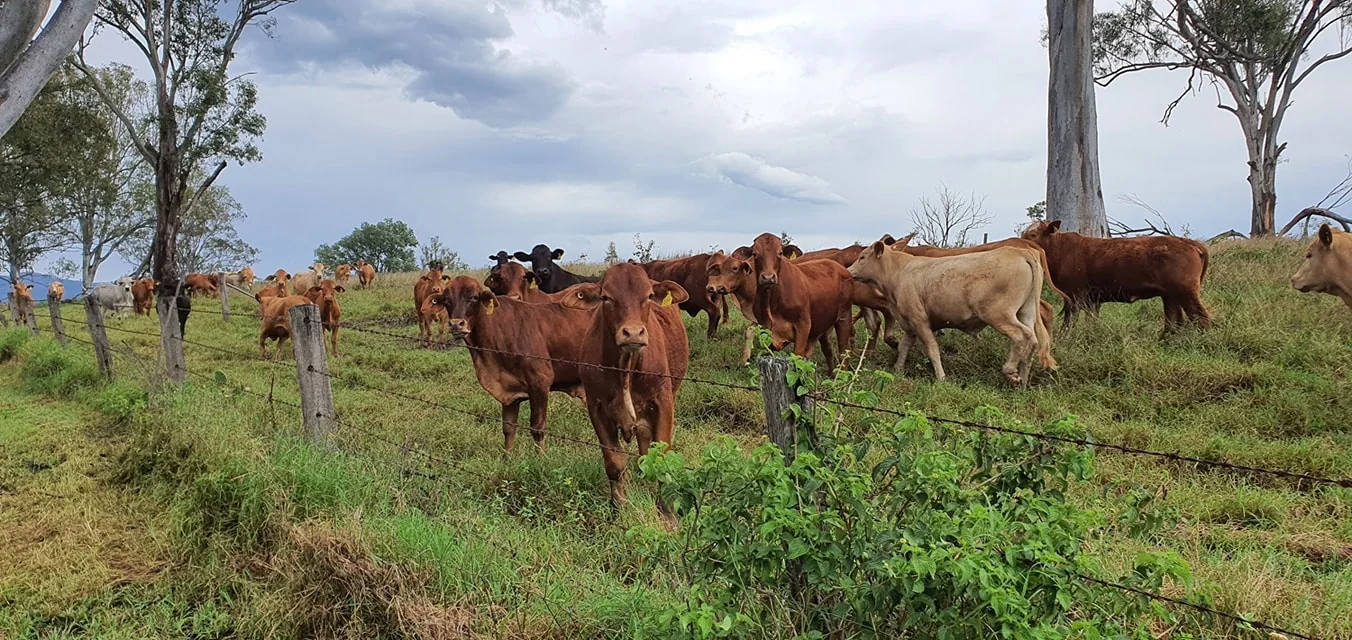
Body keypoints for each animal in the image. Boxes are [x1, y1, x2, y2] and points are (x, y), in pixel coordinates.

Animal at [433, 275, 589, 452]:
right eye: (446, 300)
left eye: (474, 297)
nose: (456, 324)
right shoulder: (509, 390)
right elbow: (508, 429)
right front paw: (507, 456)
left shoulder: (540, 383)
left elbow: (538, 428)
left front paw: (542, 456)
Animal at [557, 263, 689, 524]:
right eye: (606, 298)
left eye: (648, 296)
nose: (634, 333)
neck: (626, 366)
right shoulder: (596, 406)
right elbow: (614, 463)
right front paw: (618, 507)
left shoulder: (663, 402)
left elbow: (661, 458)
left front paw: (667, 514)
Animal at [748, 233, 855, 366]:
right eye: (754, 254)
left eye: (780, 253)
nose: (768, 277)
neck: (772, 301)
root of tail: (841, 268)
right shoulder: (765, 330)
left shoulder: (803, 326)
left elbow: (797, 358)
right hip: (823, 323)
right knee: (828, 351)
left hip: (844, 317)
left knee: (843, 354)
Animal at [848, 234, 1054, 387]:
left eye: (862, 257)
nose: (849, 271)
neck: (899, 272)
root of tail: (1020, 252)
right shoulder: (909, 324)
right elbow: (904, 347)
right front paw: (897, 370)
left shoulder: (919, 320)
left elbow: (932, 349)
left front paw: (941, 378)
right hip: (1026, 312)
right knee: (1032, 341)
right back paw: (1023, 381)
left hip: (999, 315)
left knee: (1022, 336)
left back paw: (1010, 371)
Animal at [1021, 220, 1211, 331]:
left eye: (1033, 234)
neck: (1061, 250)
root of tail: (1190, 243)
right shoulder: (1092, 300)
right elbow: (1092, 322)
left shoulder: (1074, 297)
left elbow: (1069, 324)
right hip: (1170, 295)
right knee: (1173, 321)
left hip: (1185, 292)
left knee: (1200, 317)